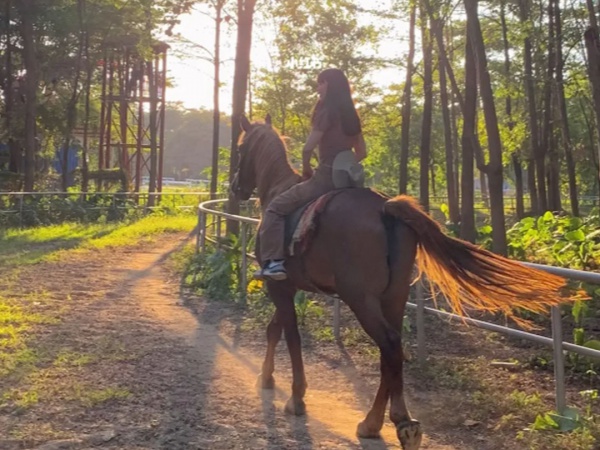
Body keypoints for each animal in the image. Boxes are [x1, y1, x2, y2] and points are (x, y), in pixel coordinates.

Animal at [230, 115, 572, 450]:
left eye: (241, 148)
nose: (235, 186)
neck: (278, 189)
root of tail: (385, 208)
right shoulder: (288, 286)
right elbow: (275, 328)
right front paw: (266, 378)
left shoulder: (279, 285)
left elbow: (290, 336)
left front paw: (295, 397)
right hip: (393, 297)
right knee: (391, 351)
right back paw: (376, 423)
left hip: (361, 298)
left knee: (390, 345)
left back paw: (399, 422)